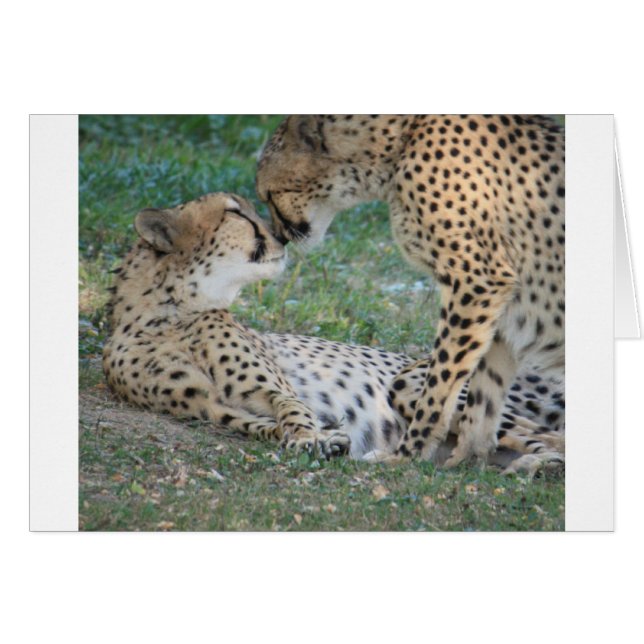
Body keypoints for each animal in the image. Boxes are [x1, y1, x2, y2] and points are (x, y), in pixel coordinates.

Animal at [103, 191, 564, 473]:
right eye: (235, 212)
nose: (282, 238)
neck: (168, 313)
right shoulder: (211, 408)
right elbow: (263, 426)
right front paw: (325, 440)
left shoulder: (275, 389)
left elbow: (293, 412)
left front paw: (312, 437)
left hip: (413, 382)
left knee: (546, 435)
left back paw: (539, 466)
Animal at [256, 114, 565, 467]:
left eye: (268, 194)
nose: (279, 237)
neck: (396, 143)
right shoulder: (502, 301)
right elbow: (485, 392)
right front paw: (466, 461)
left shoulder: (477, 281)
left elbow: (442, 382)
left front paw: (407, 455)